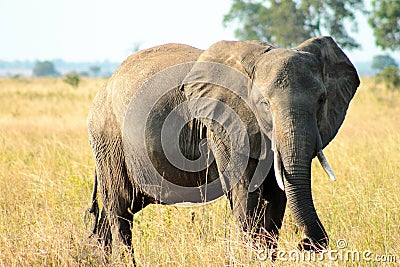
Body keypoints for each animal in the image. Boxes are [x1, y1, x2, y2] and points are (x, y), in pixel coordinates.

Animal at [86, 36, 360, 260]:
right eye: (264, 103)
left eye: (322, 100)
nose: (305, 244)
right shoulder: (225, 124)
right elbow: (246, 195)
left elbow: (277, 196)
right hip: (109, 137)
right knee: (120, 208)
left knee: (116, 212)